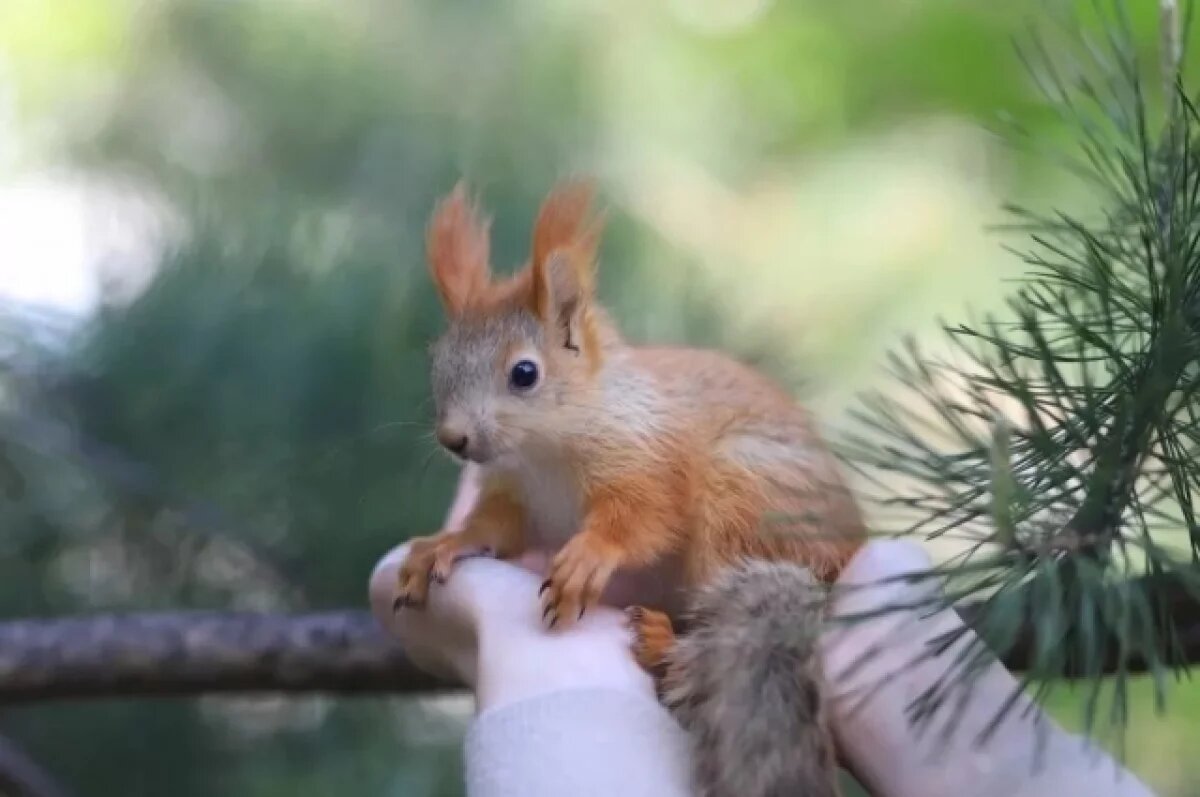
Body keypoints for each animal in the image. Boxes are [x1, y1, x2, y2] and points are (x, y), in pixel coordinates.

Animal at [398, 180, 868, 797]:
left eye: (525, 374)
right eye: (437, 367)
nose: (454, 439)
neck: (544, 453)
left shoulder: (649, 457)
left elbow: (645, 517)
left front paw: (590, 556)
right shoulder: (513, 494)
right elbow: (493, 528)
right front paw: (442, 545)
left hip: (745, 496)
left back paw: (668, 645)